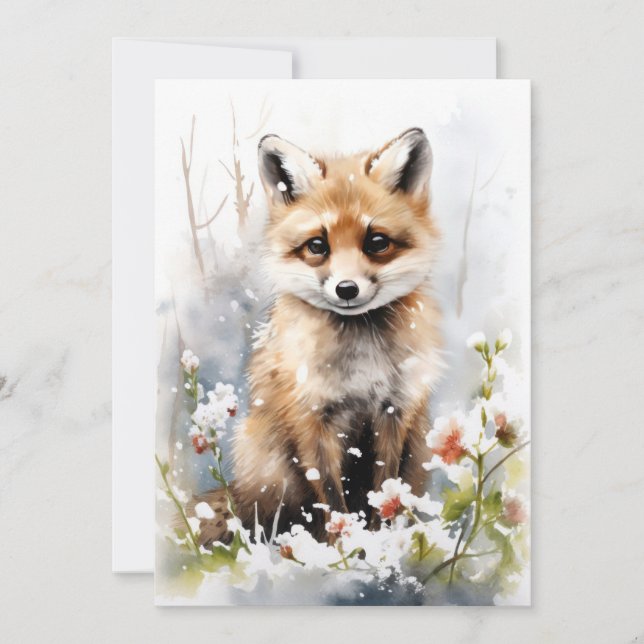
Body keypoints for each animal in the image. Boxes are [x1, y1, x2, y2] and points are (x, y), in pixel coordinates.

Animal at [225, 127, 443, 541]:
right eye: (317, 245)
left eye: (377, 242)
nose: (346, 289)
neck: (360, 368)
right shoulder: (312, 418)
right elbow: (330, 496)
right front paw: (341, 545)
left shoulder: (393, 411)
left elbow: (384, 489)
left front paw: (381, 541)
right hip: (268, 465)